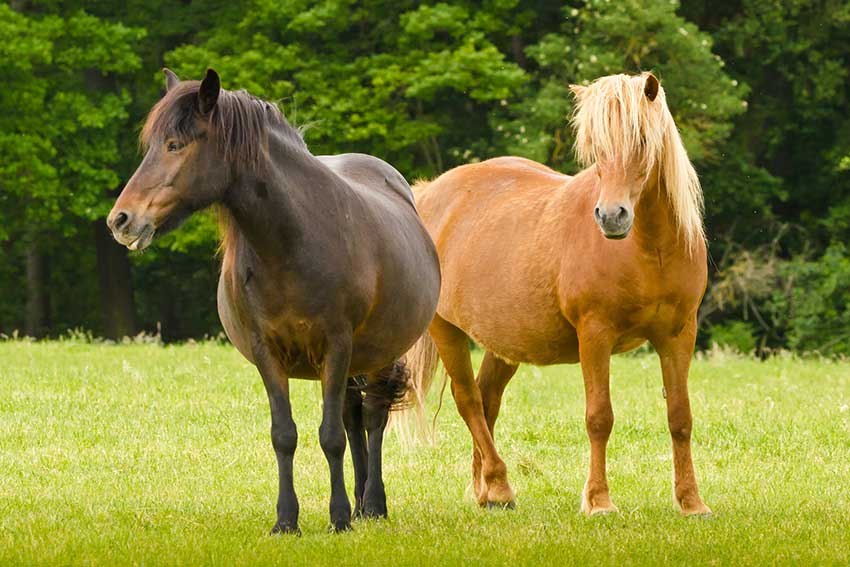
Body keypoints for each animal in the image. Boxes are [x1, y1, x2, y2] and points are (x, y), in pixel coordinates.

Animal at [107, 69, 440, 536]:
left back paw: (371, 504)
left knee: (372, 417)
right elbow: (285, 435)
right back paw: (361, 502)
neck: (293, 241)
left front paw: (338, 518)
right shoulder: (268, 353)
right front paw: (287, 520)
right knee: (354, 417)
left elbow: (331, 436)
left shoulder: (336, 347)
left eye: (175, 144)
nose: (120, 220)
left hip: (377, 353)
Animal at [408, 73, 712, 516]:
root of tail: (429, 194)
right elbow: (599, 417)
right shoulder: (595, 335)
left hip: (504, 341)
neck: (650, 250)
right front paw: (599, 501)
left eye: (641, 139)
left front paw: (691, 501)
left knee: (487, 400)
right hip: (444, 329)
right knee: (469, 401)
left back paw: (486, 491)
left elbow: (680, 417)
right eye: (596, 148)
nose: (611, 216)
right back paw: (500, 485)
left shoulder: (678, 336)